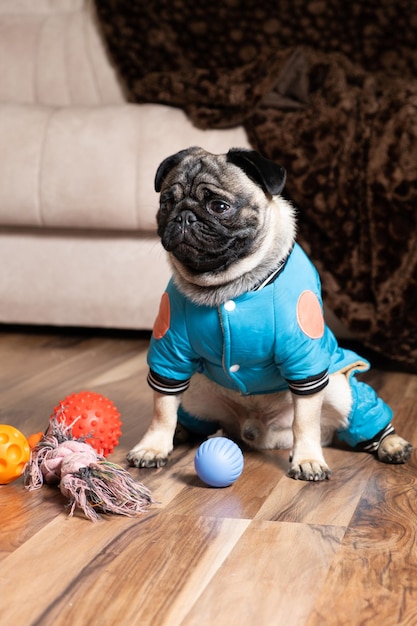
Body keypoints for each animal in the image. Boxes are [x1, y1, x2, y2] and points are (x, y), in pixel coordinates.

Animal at [127, 146, 412, 478]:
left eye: (219, 206)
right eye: (166, 204)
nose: (184, 215)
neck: (228, 288)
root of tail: (258, 432)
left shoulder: (304, 362)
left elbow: (305, 420)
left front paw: (307, 459)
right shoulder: (170, 355)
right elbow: (162, 408)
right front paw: (153, 446)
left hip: (341, 390)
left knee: (361, 418)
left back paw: (390, 444)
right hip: (197, 390)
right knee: (185, 414)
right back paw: (180, 432)